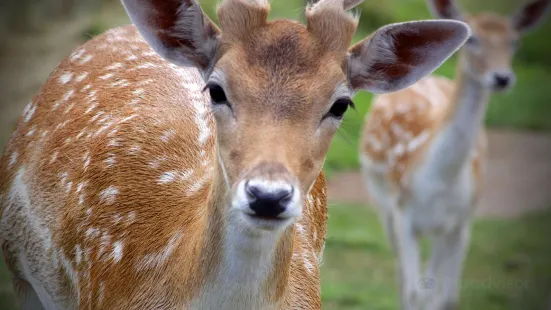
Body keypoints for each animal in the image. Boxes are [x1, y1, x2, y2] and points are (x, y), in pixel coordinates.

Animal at [360, 0, 548, 310]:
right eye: (473, 39)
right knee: (403, 276)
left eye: (515, 41)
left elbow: (444, 296)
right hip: (381, 201)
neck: (439, 182)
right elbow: (415, 292)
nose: (501, 78)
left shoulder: (457, 221)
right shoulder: (403, 215)